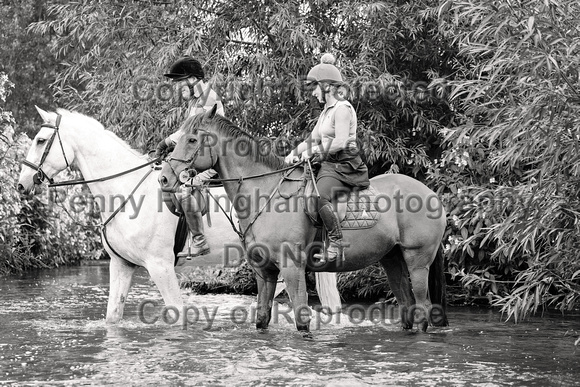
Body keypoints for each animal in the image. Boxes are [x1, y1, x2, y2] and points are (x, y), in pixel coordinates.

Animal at [18, 107, 340, 324]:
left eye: (41, 140)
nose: (21, 184)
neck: (126, 192)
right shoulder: (121, 265)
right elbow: (113, 317)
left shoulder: (159, 266)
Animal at [159, 107, 448, 336]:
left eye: (192, 139)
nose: (164, 178)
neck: (265, 194)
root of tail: (432, 194)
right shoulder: (265, 271)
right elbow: (262, 318)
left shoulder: (292, 268)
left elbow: (301, 321)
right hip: (392, 258)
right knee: (408, 307)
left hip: (417, 261)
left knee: (422, 309)